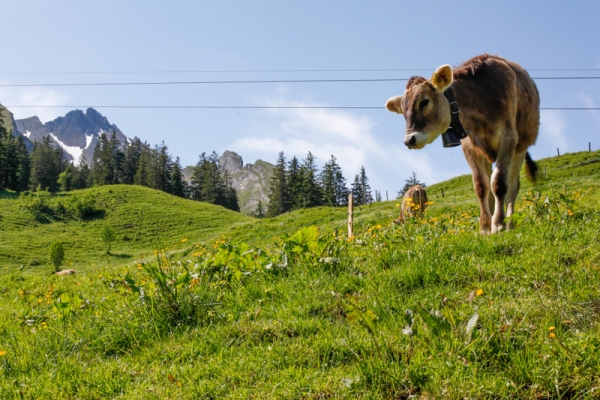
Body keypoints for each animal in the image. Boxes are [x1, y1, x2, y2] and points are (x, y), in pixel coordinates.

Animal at [386, 54, 540, 233]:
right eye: (403, 111)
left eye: (424, 102)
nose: (409, 140)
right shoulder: (469, 145)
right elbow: (481, 186)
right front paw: (485, 227)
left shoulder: (508, 138)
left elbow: (499, 183)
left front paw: (499, 224)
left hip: (521, 146)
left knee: (513, 186)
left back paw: (509, 223)